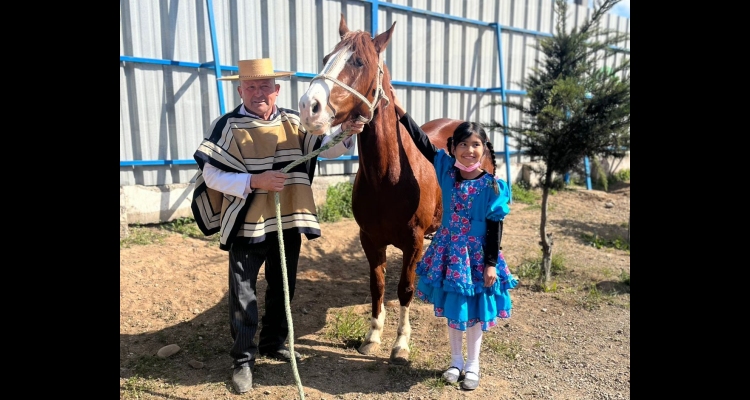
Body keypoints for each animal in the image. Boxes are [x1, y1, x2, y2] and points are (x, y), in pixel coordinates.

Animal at [300, 14, 494, 366]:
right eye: (325, 59)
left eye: (359, 62)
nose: (309, 107)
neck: (389, 178)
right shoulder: (370, 239)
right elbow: (377, 285)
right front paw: (373, 336)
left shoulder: (412, 241)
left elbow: (404, 288)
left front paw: (401, 344)